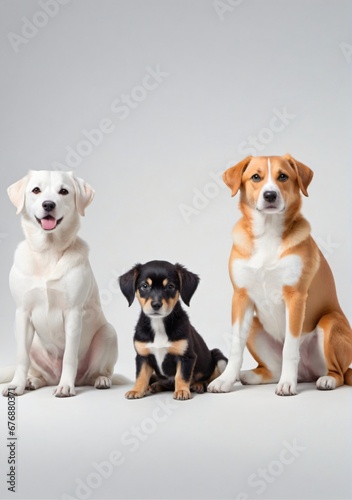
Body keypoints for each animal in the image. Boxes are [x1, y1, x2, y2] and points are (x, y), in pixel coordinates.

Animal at [1, 170, 118, 396]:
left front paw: (66, 386)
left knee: (97, 372)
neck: (48, 251)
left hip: (108, 334)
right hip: (31, 341)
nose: (48, 204)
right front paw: (16, 385)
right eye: (36, 190)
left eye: (63, 191)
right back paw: (32, 381)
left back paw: (100, 380)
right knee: (41, 375)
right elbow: (21, 357)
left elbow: (69, 357)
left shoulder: (73, 313)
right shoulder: (22, 313)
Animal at [119, 260, 227, 400]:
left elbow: (181, 376)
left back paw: (198, 385)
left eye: (170, 286)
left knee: (210, 379)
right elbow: (141, 376)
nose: (156, 305)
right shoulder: (143, 356)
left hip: (219, 358)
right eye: (144, 286)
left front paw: (181, 391)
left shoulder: (186, 357)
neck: (159, 325)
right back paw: (154, 386)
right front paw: (136, 390)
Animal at [208, 154, 350, 396]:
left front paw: (287, 384)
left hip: (329, 322)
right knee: (274, 369)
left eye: (283, 176)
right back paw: (250, 375)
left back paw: (325, 380)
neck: (267, 232)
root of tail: (307, 373)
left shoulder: (295, 298)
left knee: (338, 372)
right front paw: (225, 379)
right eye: (256, 177)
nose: (270, 195)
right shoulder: (241, 297)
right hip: (254, 325)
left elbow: (290, 348)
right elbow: (235, 346)